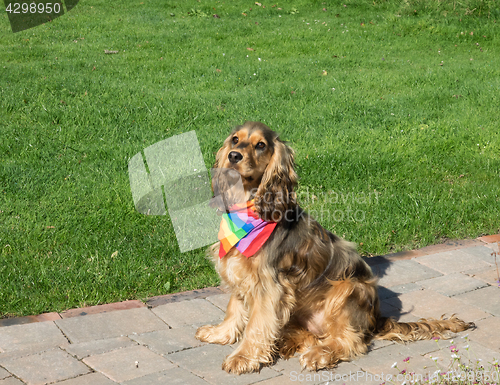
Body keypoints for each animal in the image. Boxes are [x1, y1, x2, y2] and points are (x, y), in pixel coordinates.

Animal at [193, 120, 474, 372]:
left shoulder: (268, 285)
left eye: (260, 145)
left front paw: (242, 357)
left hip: (349, 288)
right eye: (235, 140)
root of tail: (375, 320)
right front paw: (220, 333)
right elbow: (234, 308)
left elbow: (256, 324)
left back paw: (319, 355)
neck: (247, 209)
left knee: (349, 340)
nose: (233, 156)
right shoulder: (240, 271)